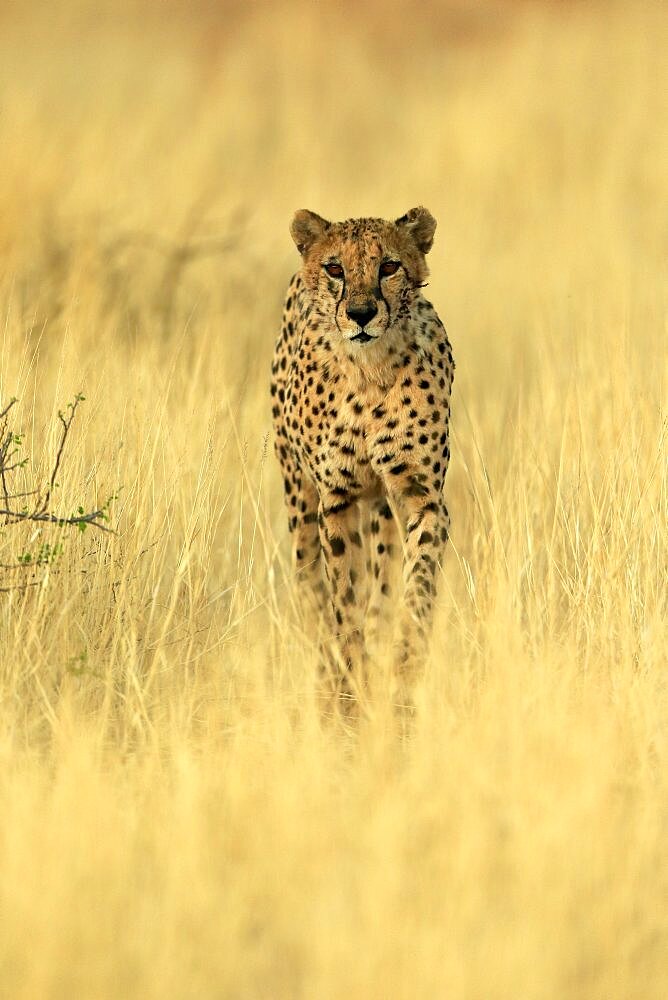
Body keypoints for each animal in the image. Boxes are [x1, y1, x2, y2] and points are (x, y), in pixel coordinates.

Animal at [272, 207, 454, 696]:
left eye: (389, 266)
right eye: (335, 269)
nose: (360, 313)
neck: (369, 370)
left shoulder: (422, 497)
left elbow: (415, 586)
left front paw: (405, 661)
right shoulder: (336, 500)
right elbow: (344, 595)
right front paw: (349, 676)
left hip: (382, 506)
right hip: (300, 501)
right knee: (313, 591)